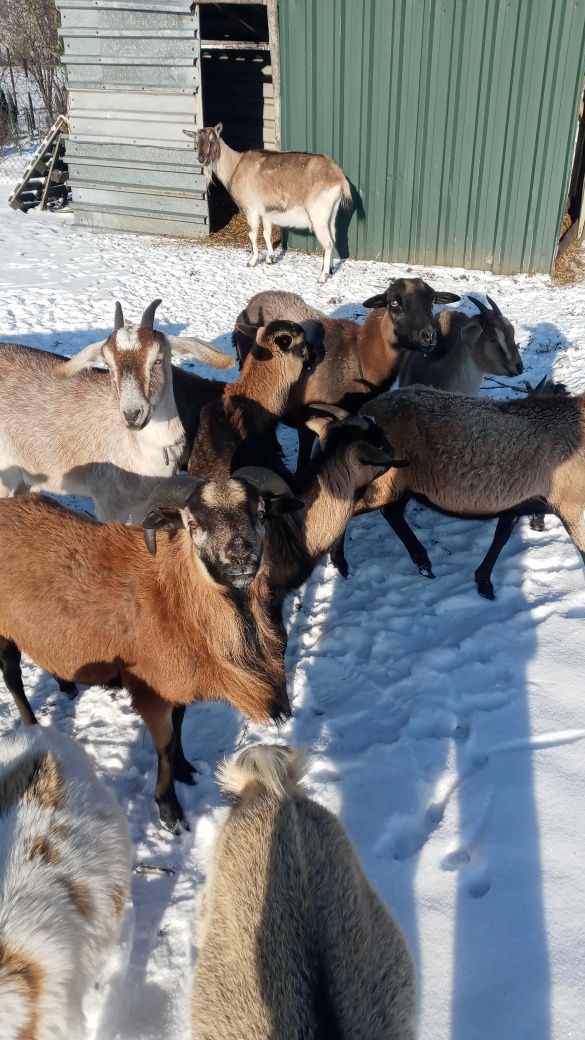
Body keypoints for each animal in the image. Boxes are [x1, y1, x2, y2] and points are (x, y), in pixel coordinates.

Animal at [0, 476, 299, 832]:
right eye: (192, 524)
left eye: (262, 513)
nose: (240, 555)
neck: (175, 597)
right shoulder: (152, 690)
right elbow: (165, 745)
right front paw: (170, 810)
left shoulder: (176, 683)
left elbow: (180, 725)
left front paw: (186, 771)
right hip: (3, 632)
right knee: (12, 676)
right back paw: (31, 725)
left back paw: (67, 685)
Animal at [182, 123, 349, 282]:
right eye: (196, 141)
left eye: (212, 140)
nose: (202, 159)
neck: (235, 166)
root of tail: (339, 177)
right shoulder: (266, 212)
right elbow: (266, 233)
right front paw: (270, 259)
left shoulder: (252, 209)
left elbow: (252, 234)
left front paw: (252, 261)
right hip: (331, 213)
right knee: (333, 238)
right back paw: (330, 269)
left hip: (318, 213)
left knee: (328, 242)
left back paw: (322, 276)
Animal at [232, 280, 460, 467]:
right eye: (394, 302)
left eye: (432, 301)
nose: (429, 336)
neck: (359, 357)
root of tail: (253, 301)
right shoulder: (307, 419)